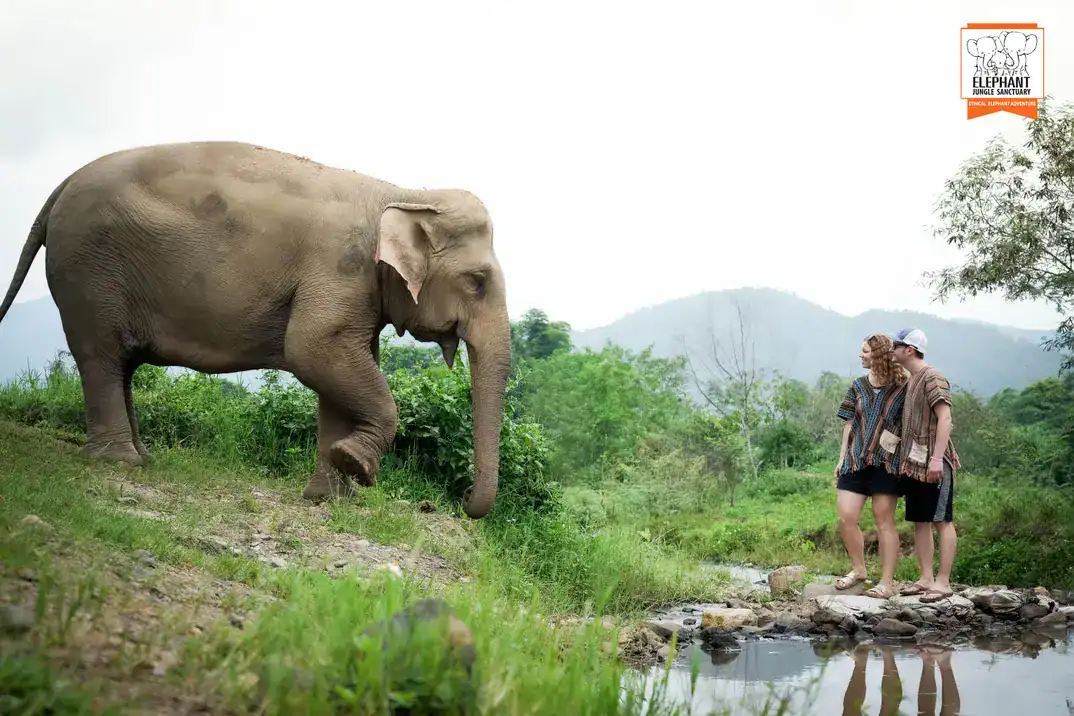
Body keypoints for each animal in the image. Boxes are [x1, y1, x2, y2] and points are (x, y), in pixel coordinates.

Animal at [0, 141, 510, 519]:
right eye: (477, 282)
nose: (460, 501)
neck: (403, 192)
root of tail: (61, 186)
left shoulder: (357, 288)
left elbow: (338, 369)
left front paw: (329, 496)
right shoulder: (339, 269)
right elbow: (312, 350)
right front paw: (355, 465)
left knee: (119, 362)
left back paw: (141, 458)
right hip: (89, 269)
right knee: (101, 355)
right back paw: (119, 463)